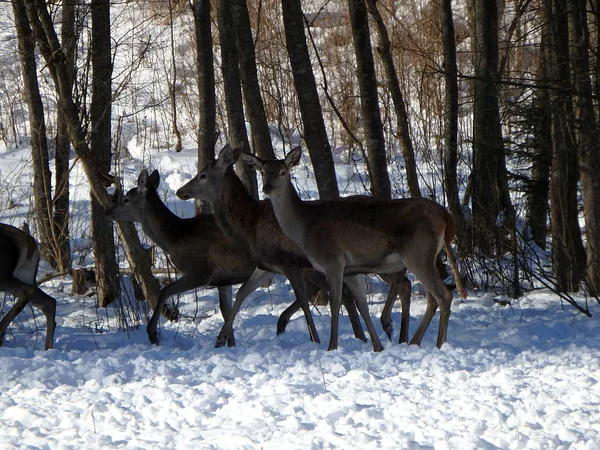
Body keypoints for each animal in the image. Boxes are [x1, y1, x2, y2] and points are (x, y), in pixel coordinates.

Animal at [105, 167, 274, 346]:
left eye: (126, 199)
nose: (107, 211)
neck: (175, 238)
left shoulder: (200, 271)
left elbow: (165, 290)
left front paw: (152, 333)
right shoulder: (223, 280)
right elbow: (225, 312)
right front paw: (228, 344)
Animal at [176, 144, 412, 352]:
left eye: (202, 175)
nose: (180, 191)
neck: (247, 227)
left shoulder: (290, 263)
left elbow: (305, 300)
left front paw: (316, 338)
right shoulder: (267, 266)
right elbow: (243, 292)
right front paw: (221, 338)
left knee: (403, 282)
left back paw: (391, 328)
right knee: (404, 283)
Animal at [239, 148, 464, 352]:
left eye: (283, 172)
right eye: (263, 171)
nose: (267, 188)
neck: (305, 227)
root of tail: (447, 217)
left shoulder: (333, 261)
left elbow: (336, 303)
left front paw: (332, 347)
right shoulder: (352, 272)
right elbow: (362, 306)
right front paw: (377, 346)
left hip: (418, 254)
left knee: (443, 295)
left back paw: (439, 345)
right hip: (428, 257)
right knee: (432, 298)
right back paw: (415, 342)